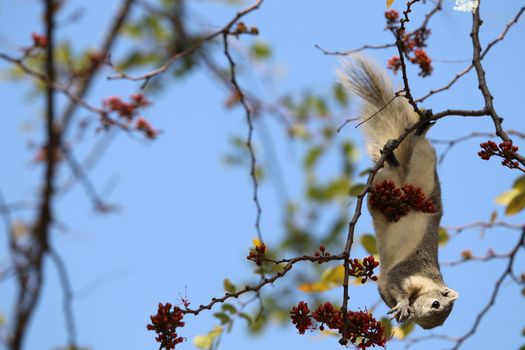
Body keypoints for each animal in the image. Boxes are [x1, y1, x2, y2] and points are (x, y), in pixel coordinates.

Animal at [338, 56, 456, 330]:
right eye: (436, 304)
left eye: (429, 325)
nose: (414, 317)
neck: (429, 280)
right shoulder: (407, 270)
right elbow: (397, 282)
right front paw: (403, 304)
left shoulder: (386, 287)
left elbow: (387, 292)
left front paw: (400, 309)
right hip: (424, 164)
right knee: (419, 143)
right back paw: (419, 128)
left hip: (386, 184)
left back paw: (393, 154)